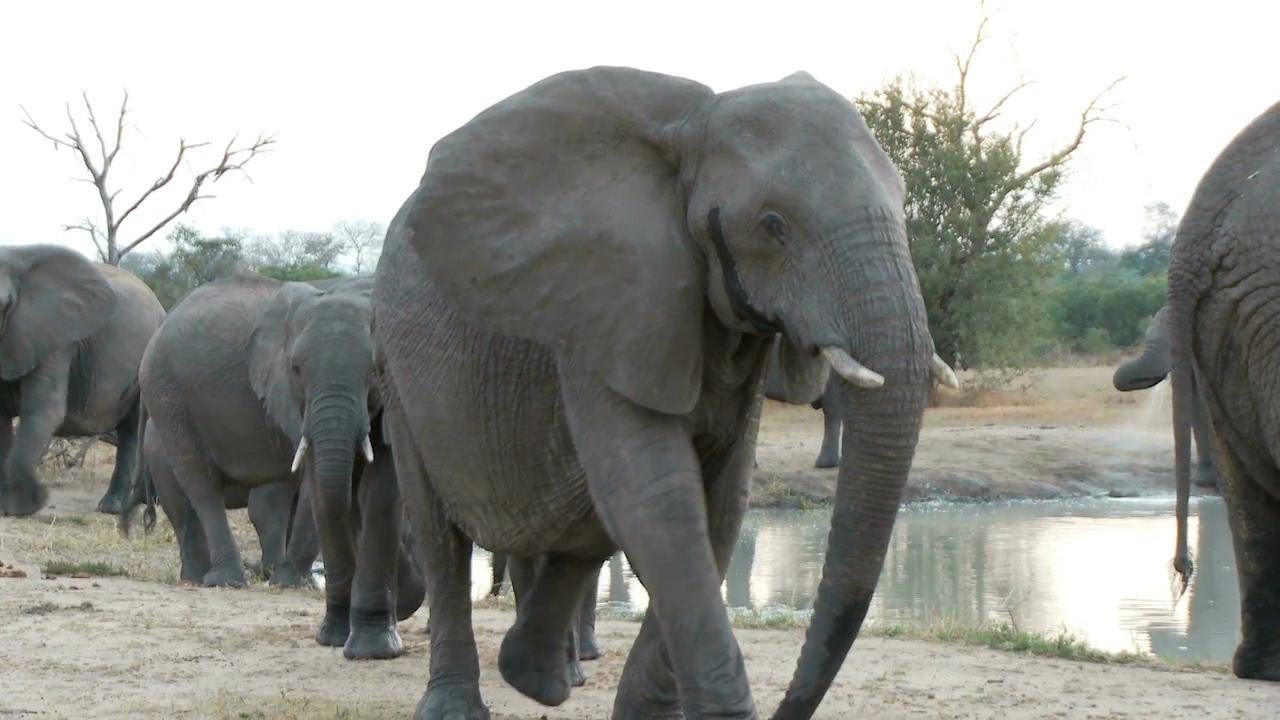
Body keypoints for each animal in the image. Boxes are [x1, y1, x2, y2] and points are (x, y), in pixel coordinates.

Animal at [0, 244, 164, 517]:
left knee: (133, 429)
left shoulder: (57, 336)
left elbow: (44, 409)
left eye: (1, 304)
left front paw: (22, 506)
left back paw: (114, 508)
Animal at [132, 273, 425, 659]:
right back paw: (225, 580)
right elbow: (308, 492)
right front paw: (290, 583)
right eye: (296, 369)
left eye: (376, 369)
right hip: (167, 394)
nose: (410, 598)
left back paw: (198, 577)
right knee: (200, 484)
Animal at [373, 67, 957, 719]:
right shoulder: (602, 312)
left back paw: (534, 678)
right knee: (441, 533)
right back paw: (463, 701)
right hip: (398, 365)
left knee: (583, 521)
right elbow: (660, 499)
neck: (689, 132)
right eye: (772, 225)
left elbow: (715, 507)